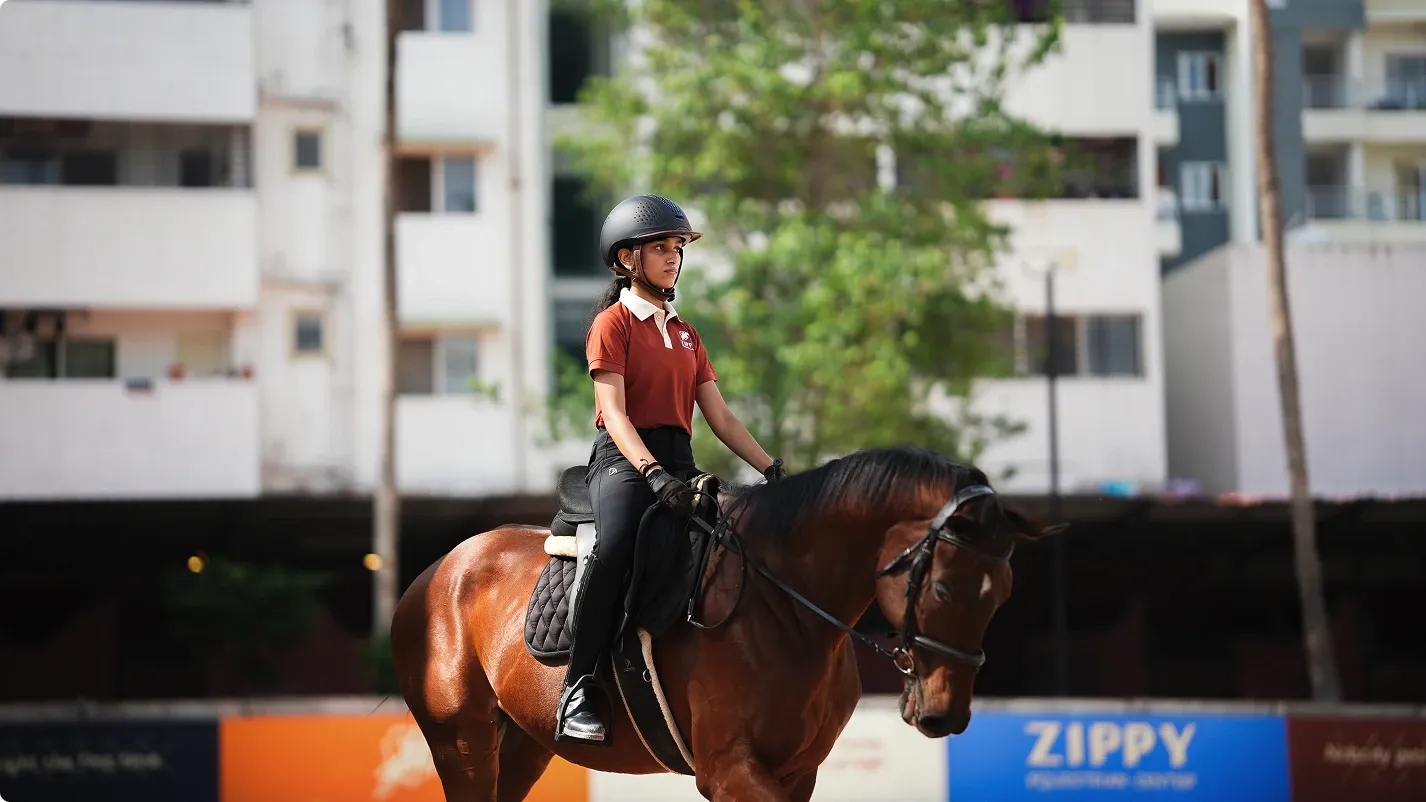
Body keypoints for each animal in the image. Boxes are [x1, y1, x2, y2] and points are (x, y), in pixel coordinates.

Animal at [389, 445, 1061, 802]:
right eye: (944, 587)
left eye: (1002, 595)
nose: (945, 714)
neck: (786, 608)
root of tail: (435, 572)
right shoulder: (729, 771)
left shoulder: (796, 774)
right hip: (462, 742)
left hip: (524, 744)